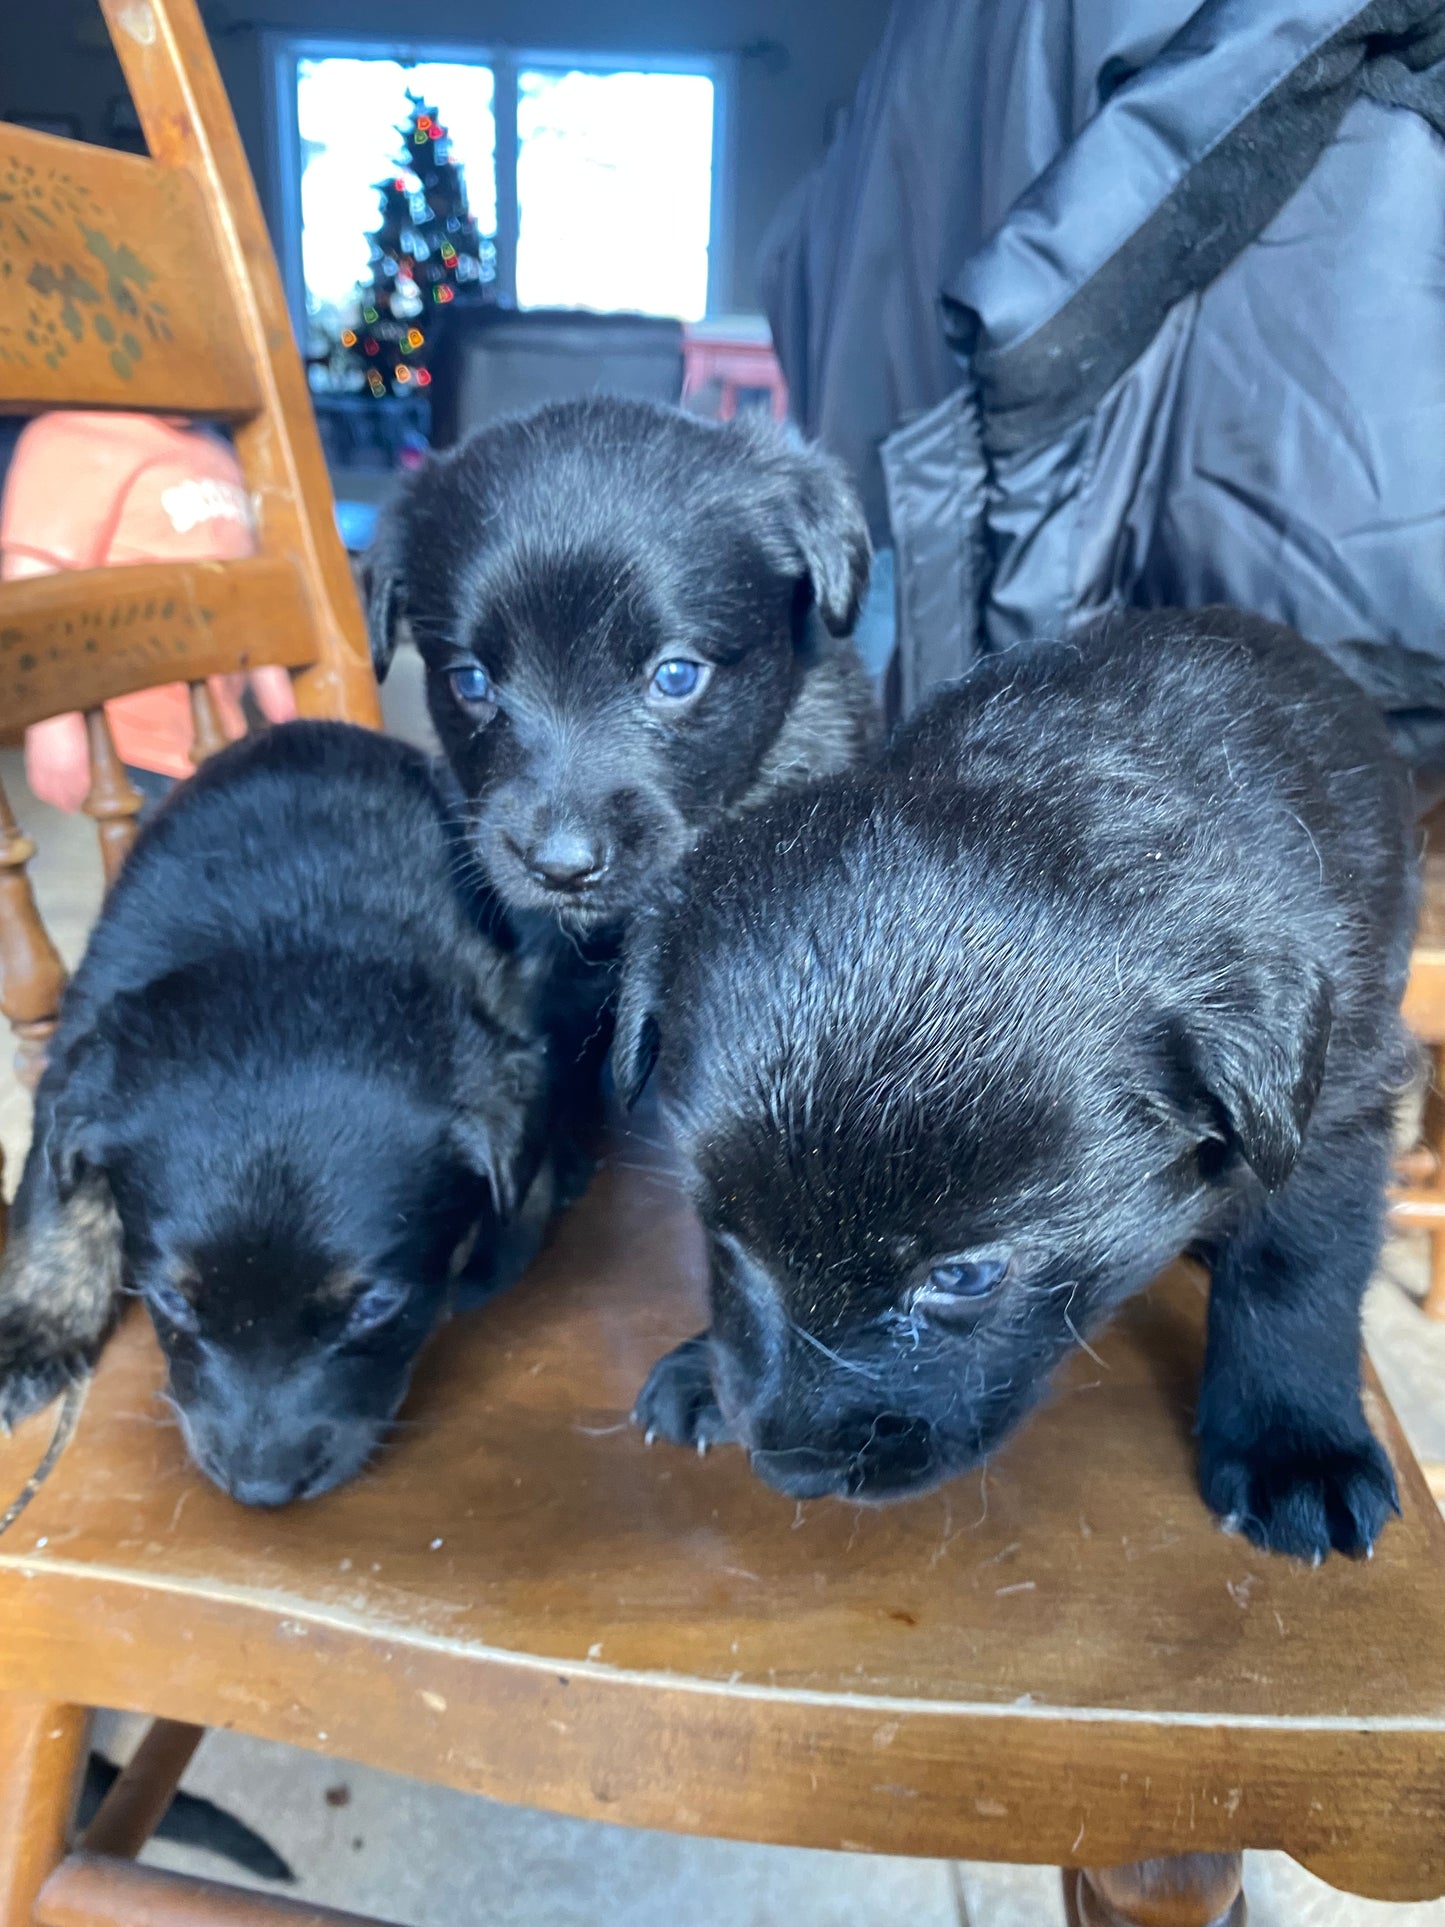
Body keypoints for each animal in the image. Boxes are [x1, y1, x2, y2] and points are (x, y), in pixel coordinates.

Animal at [0, 724, 554, 1503]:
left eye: (373, 1309)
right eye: (171, 1303)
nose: (261, 1491)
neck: (290, 942)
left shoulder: (504, 1010)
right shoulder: (77, 1058)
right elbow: (53, 1207)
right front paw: (30, 1336)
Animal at [616, 608, 1418, 1557]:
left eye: (964, 1277)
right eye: (722, 1233)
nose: (788, 1471)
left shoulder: (1336, 1113)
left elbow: (1294, 1279)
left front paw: (1294, 1448)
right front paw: (705, 1367)